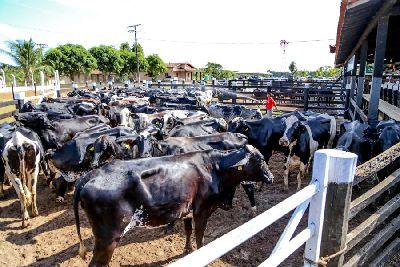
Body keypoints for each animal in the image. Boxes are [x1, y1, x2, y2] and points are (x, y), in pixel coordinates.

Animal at [73, 147, 274, 267]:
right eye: (259, 161)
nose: (271, 178)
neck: (215, 169)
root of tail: (89, 175)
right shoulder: (202, 211)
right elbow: (200, 237)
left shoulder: (186, 210)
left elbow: (188, 231)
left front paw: (187, 250)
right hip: (108, 238)